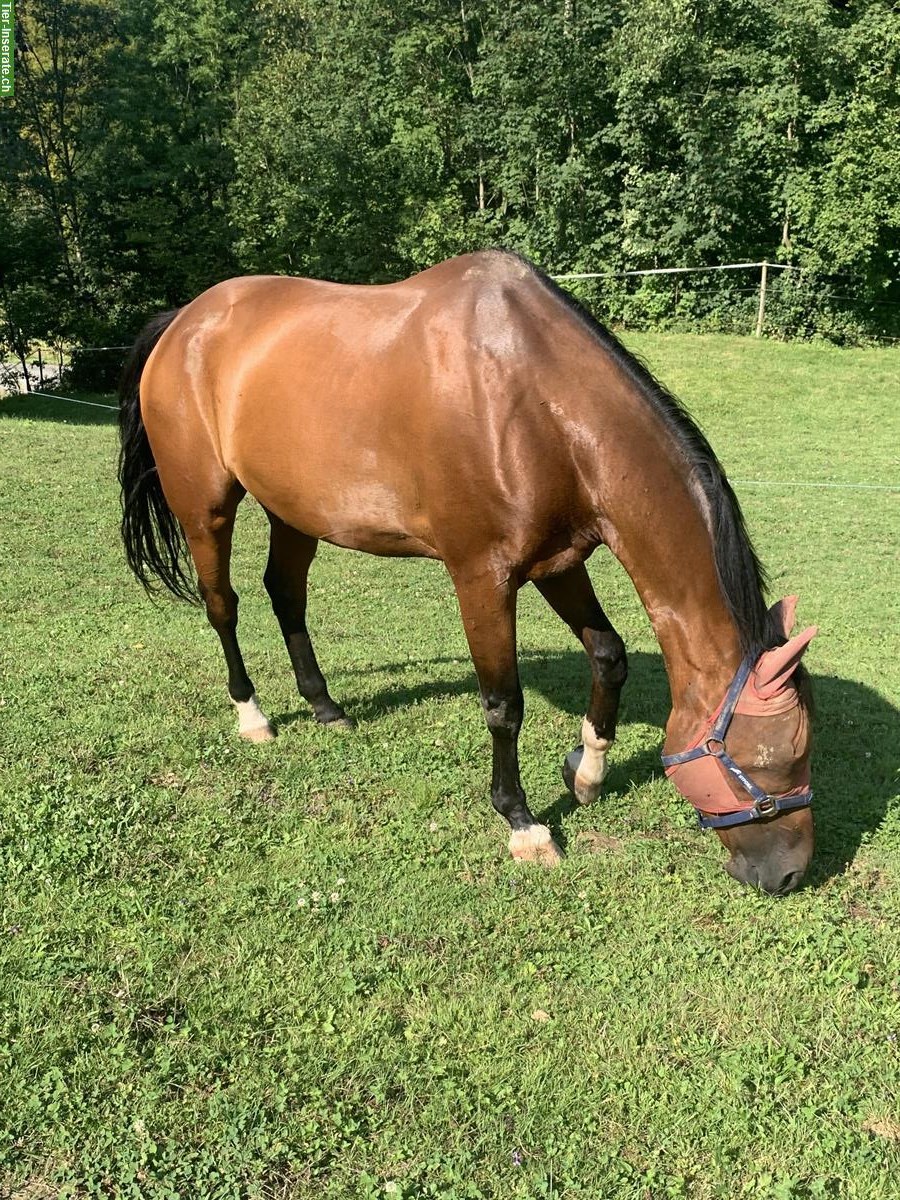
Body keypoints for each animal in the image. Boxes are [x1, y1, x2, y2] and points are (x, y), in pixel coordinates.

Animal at [118, 250, 816, 892]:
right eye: (777, 759)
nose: (788, 875)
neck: (534, 401)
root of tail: (186, 320)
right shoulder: (483, 577)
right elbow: (504, 703)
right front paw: (523, 823)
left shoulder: (558, 562)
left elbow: (608, 654)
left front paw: (586, 771)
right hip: (205, 508)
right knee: (223, 603)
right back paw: (253, 716)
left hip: (293, 509)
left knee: (286, 593)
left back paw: (324, 705)